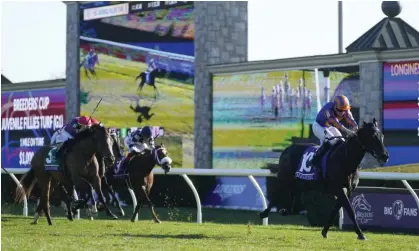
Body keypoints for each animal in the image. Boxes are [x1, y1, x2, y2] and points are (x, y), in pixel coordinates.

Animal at [213, 69, 360, 169]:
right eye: (339, 109)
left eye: (345, 109)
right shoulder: (330, 115)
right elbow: (336, 122)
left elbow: (349, 119)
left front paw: (354, 127)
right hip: (319, 128)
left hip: (329, 129)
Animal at [260, 118, 390, 240]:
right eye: (373, 137)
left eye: (382, 136)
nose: (385, 156)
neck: (346, 159)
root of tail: (287, 149)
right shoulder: (339, 188)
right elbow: (350, 210)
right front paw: (361, 234)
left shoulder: (347, 190)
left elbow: (335, 210)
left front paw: (325, 231)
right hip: (285, 178)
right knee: (276, 193)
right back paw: (264, 213)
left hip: (302, 183)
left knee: (293, 194)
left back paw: (286, 210)